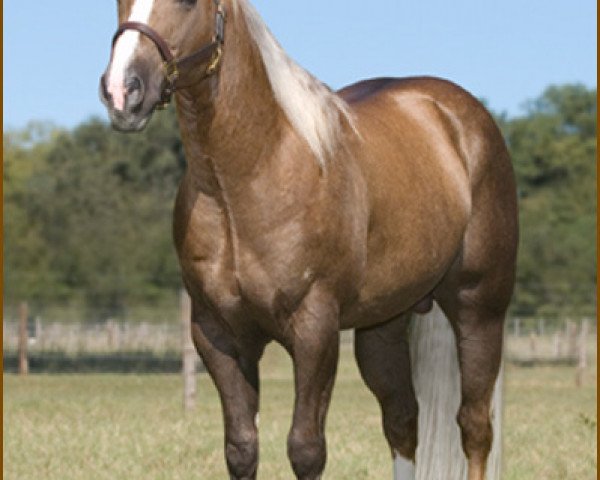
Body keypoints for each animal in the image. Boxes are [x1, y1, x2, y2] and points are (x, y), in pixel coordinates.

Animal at [101, 0, 516, 480]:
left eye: (189, 3)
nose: (122, 91)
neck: (247, 176)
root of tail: (457, 115)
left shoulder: (314, 330)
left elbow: (305, 448)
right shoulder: (217, 334)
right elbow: (241, 448)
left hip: (479, 310)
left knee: (474, 426)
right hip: (383, 327)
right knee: (402, 419)